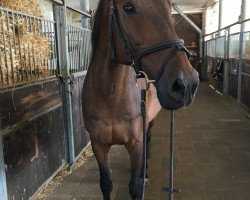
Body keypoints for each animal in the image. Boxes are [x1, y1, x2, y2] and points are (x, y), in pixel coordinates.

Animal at [82, 0, 199, 199]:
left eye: (169, 8)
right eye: (128, 7)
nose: (187, 84)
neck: (111, 97)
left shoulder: (136, 142)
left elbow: (136, 187)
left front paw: (142, 177)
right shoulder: (98, 145)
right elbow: (106, 184)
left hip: (149, 122)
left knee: (148, 141)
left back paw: (146, 173)